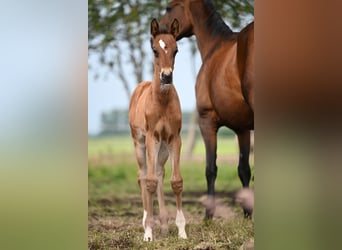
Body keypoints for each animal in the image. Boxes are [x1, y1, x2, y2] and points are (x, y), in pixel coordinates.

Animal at [128, 18, 187, 241]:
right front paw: (148, 233)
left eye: (176, 50)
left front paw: (181, 230)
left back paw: (163, 224)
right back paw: (147, 222)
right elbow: (150, 181)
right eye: (154, 50)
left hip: (162, 147)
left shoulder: (174, 138)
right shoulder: (151, 136)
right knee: (143, 175)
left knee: (160, 173)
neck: (161, 102)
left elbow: (176, 181)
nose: (166, 76)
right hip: (139, 142)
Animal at [161, 0, 254, 219]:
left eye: (169, 7)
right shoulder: (243, 129)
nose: (158, 31)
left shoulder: (206, 121)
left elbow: (211, 168)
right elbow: (244, 169)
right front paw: (247, 213)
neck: (215, 47)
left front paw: (208, 215)